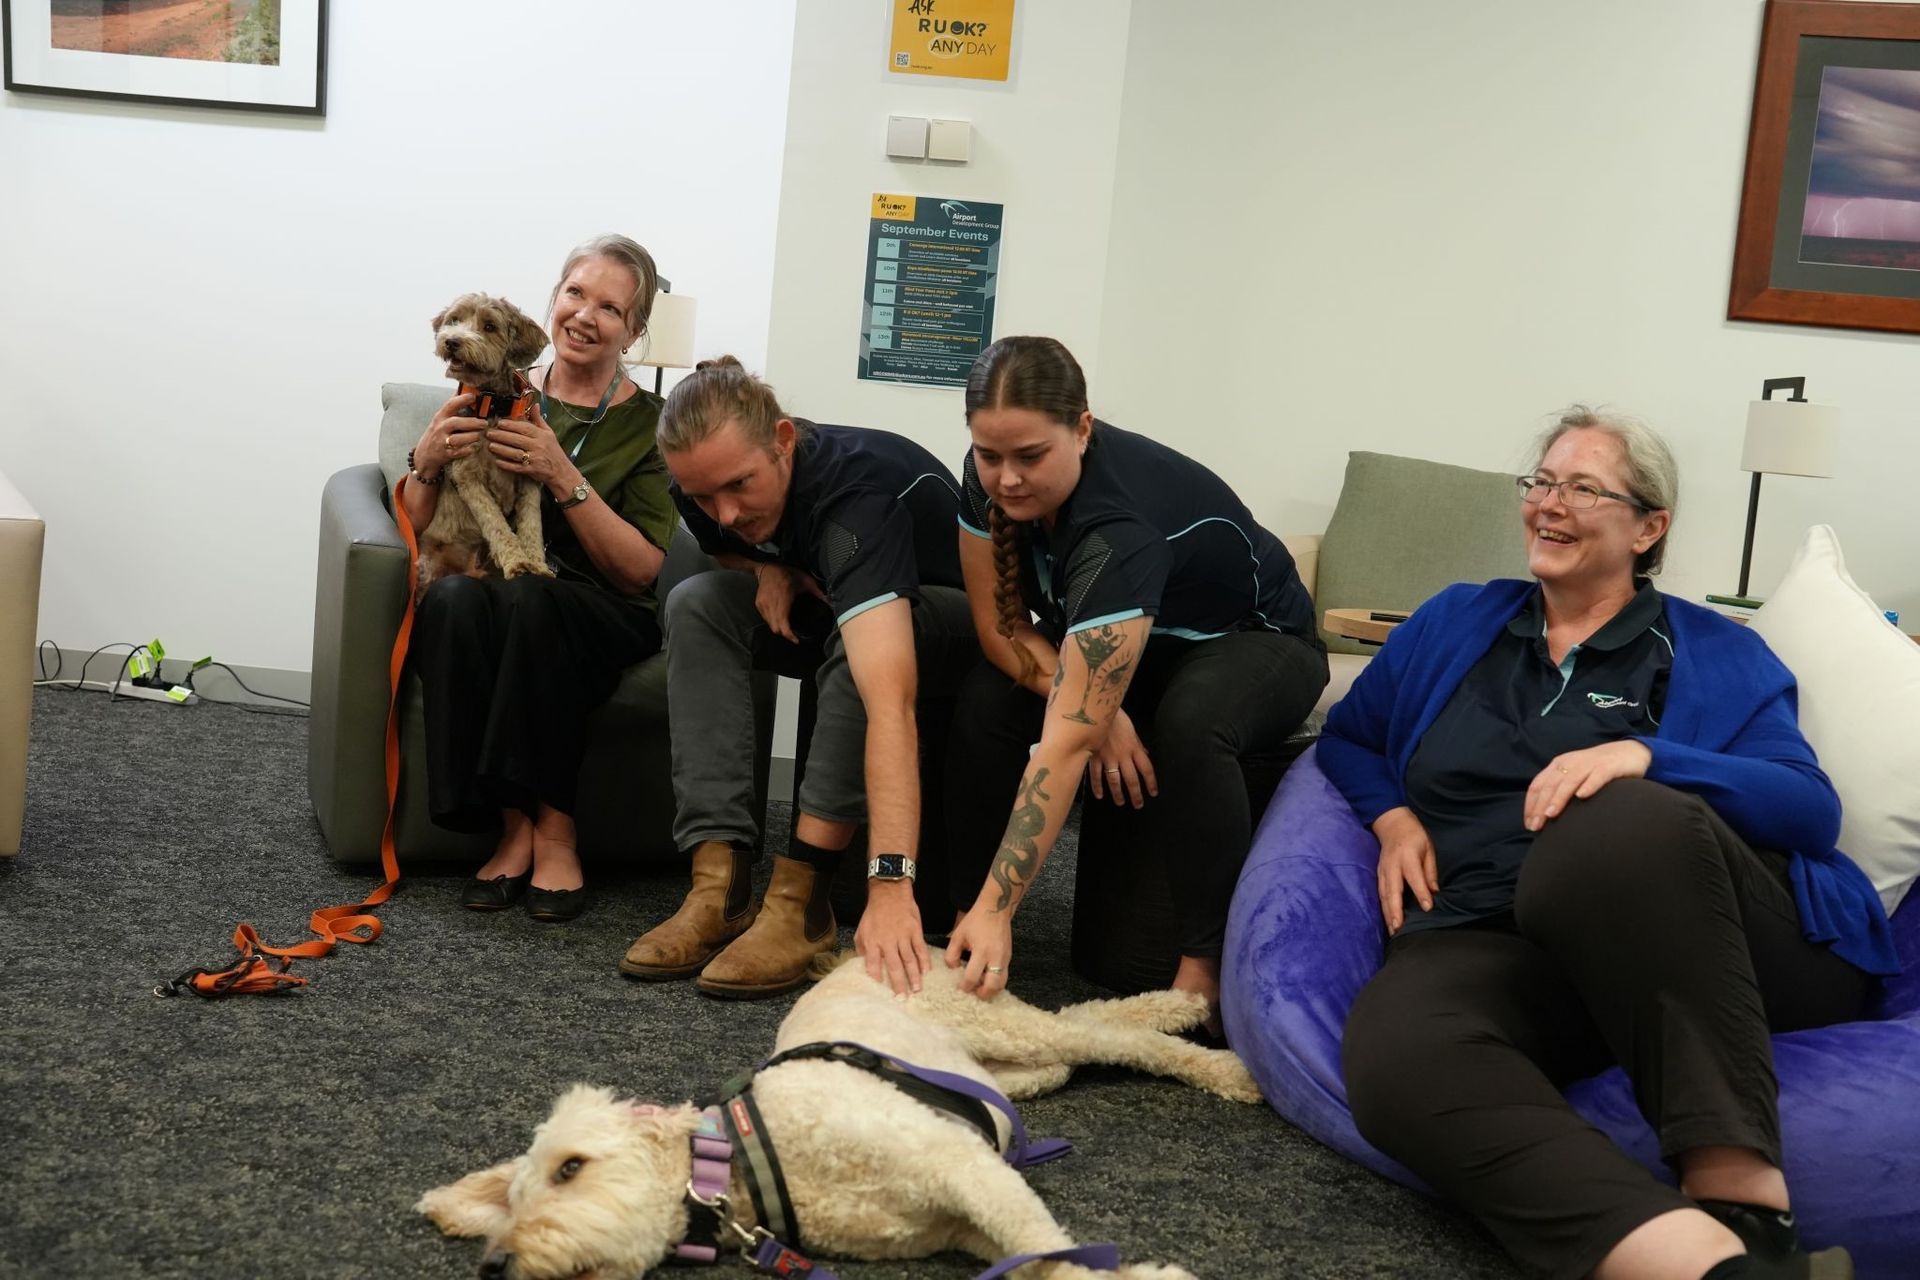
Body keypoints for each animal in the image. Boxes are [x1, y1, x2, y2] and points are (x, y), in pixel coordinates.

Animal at [412, 293, 549, 602]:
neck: (493, 405)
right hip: (427, 570)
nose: (452, 341)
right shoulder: (467, 476)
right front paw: (516, 560)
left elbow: (532, 524)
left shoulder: (529, 475)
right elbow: (495, 522)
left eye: (489, 326)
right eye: (454, 320)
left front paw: (536, 564)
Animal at [420, 955, 1259, 1274]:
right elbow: (1035, 1261)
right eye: (512, 1205)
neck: (750, 1166)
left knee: (1104, 1033)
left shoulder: (962, 1166)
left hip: (995, 1023)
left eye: (571, 1168)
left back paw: (1216, 1049)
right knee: (1079, 1034)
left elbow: (1045, 1249)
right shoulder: (964, 1214)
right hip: (1003, 1064)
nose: (495, 1265)